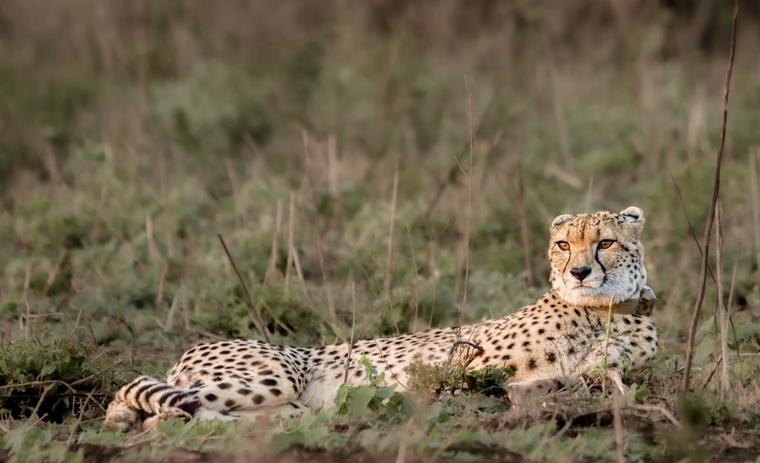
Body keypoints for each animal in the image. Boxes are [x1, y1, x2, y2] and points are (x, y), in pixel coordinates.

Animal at [104, 206, 657, 431]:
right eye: (564, 245)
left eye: (606, 242)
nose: (580, 272)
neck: (602, 311)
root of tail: (189, 349)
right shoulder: (465, 365)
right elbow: (482, 381)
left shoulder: (611, 369)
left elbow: (598, 379)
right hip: (275, 374)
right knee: (151, 400)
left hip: (288, 403)